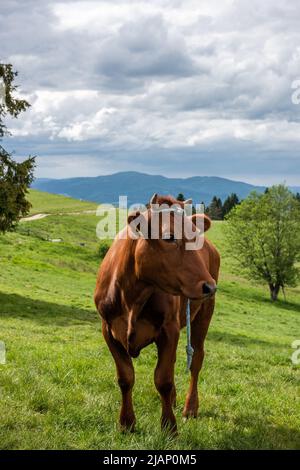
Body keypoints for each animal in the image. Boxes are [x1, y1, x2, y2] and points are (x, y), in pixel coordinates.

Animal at [95, 194, 219, 434]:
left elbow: (163, 379)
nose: (209, 286)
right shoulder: (108, 329)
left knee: (197, 358)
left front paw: (169, 426)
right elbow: (125, 377)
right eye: (169, 237)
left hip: (204, 313)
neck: (132, 294)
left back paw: (190, 407)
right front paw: (126, 423)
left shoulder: (169, 329)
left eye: (195, 236)